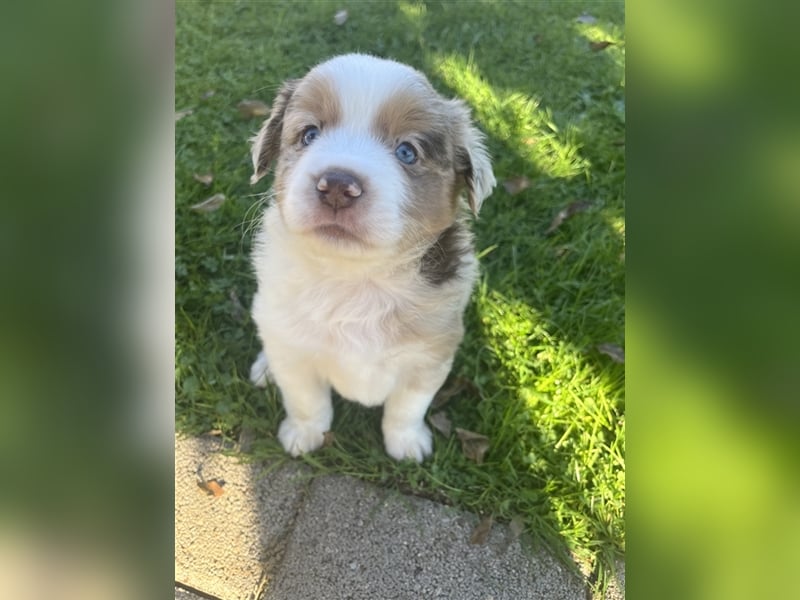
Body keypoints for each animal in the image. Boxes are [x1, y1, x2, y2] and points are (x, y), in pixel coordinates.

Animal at [247, 54, 494, 462]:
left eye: (407, 152)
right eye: (309, 134)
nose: (336, 186)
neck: (355, 278)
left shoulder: (431, 355)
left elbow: (408, 406)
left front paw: (407, 443)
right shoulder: (294, 353)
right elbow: (306, 399)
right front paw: (304, 434)